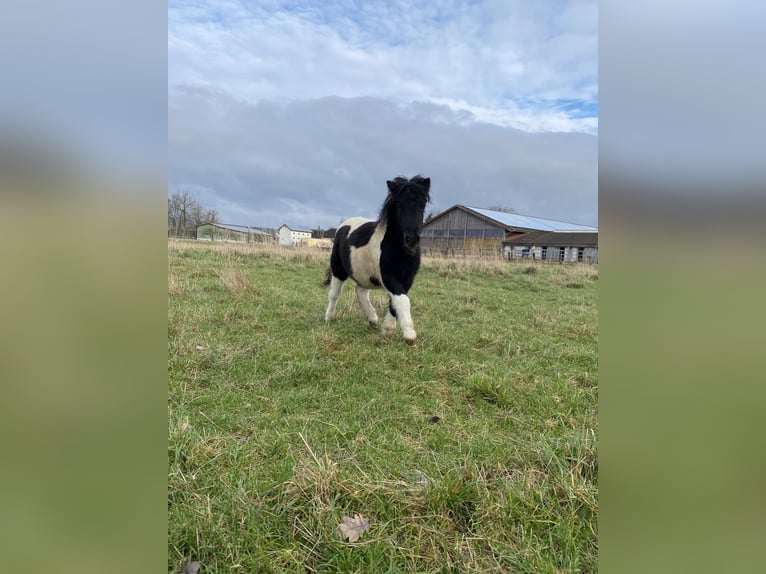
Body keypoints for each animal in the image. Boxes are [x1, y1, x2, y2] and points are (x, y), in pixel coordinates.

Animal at [324, 176, 432, 346]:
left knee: (360, 290)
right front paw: (410, 335)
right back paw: (329, 317)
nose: (411, 239)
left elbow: (395, 303)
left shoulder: (407, 279)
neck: (400, 251)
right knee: (334, 294)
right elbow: (402, 300)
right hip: (338, 270)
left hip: (365, 275)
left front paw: (387, 329)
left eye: (423, 204)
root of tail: (343, 225)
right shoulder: (389, 277)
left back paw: (373, 319)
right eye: (398, 204)